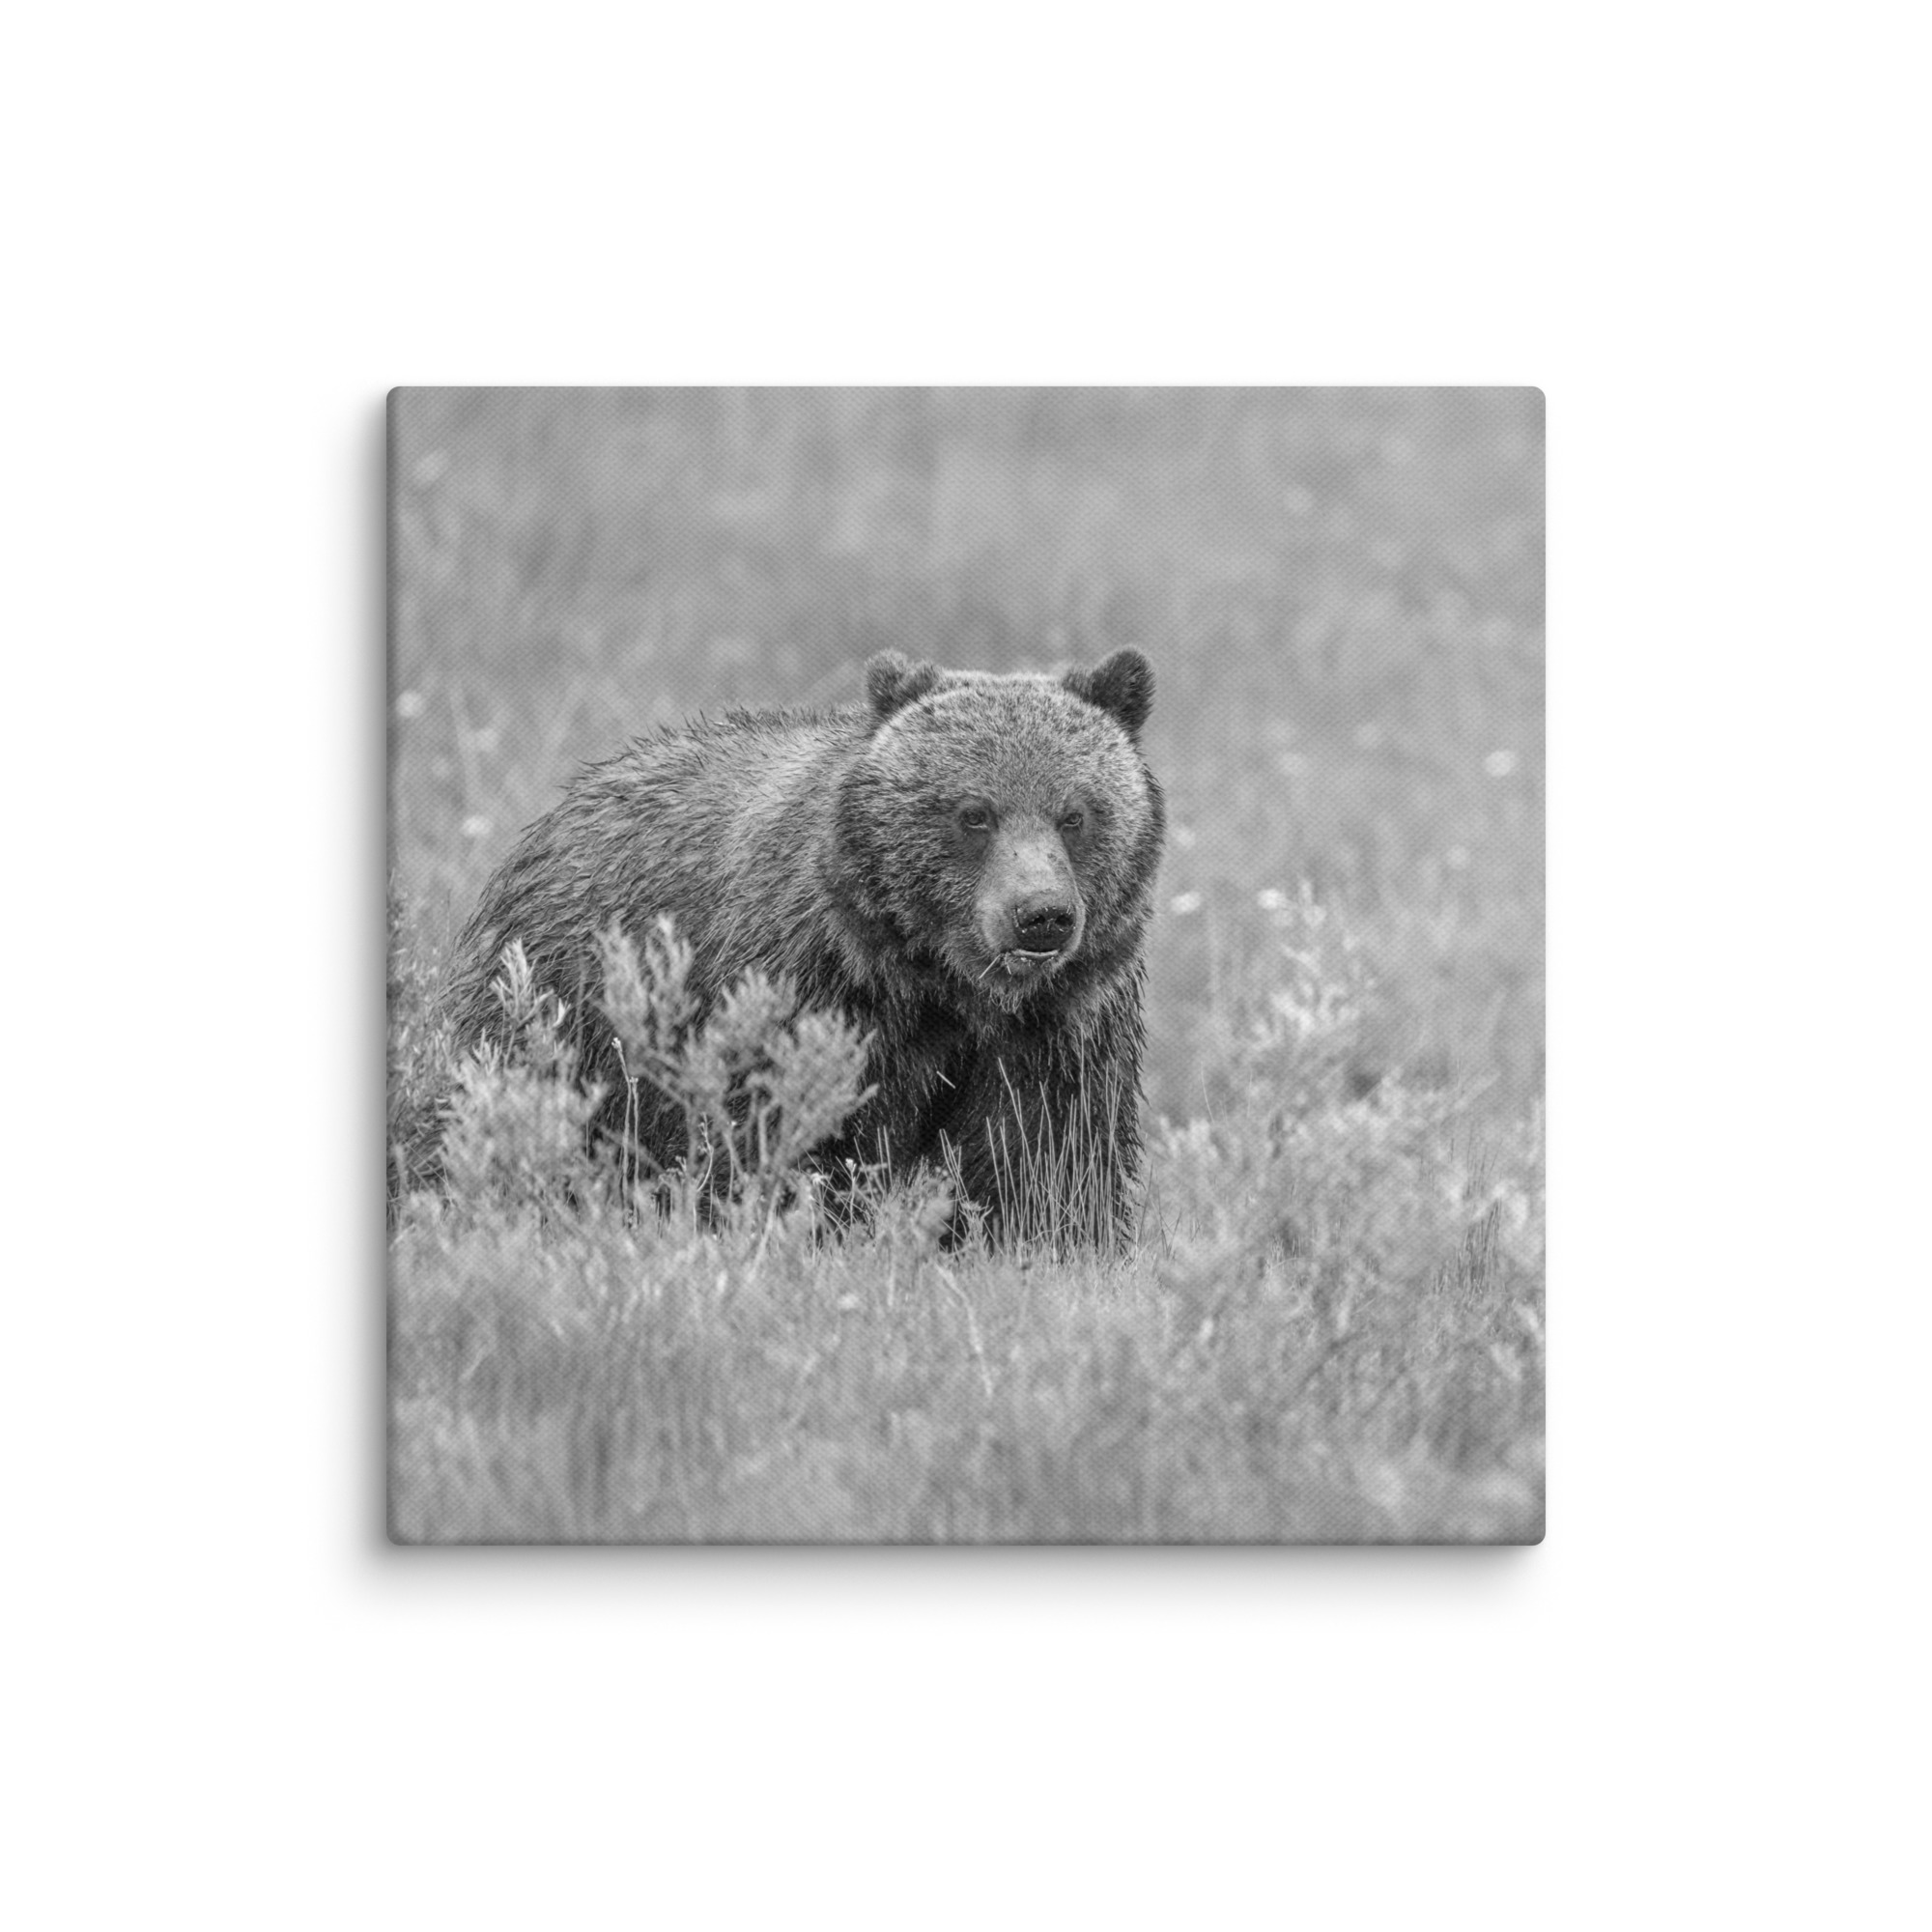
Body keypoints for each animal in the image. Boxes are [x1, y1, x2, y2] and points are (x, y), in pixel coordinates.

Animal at [442, 648, 1165, 1244]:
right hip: (566, 1005)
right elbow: (790, 1132)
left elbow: (1047, 1158)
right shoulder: (813, 990)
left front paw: (1048, 1244)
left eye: (1075, 813)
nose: (1040, 916)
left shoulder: (1061, 1026)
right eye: (974, 813)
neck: (942, 985)